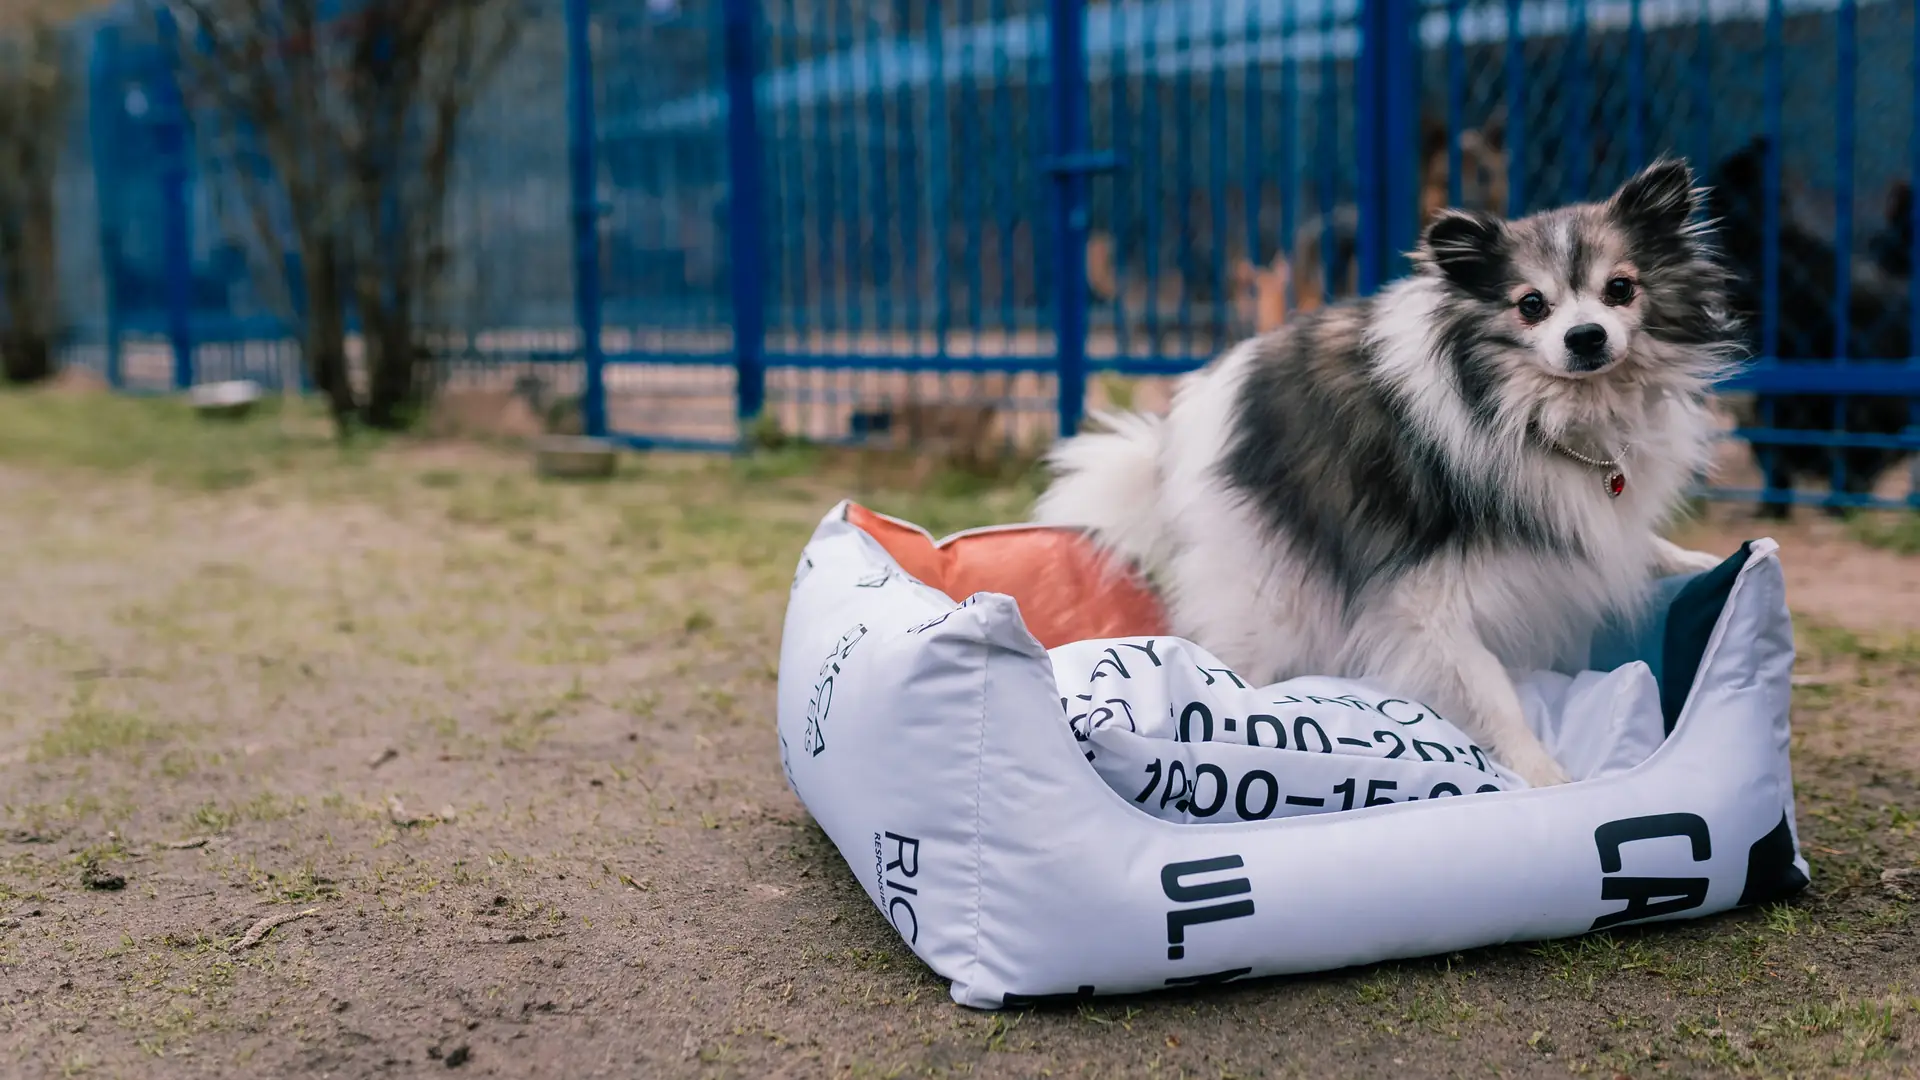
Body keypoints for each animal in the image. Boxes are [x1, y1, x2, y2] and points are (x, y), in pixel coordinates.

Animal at [1044, 159, 1751, 780]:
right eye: (1531, 305)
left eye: (1620, 289)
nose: (1586, 337)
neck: (1536, 411)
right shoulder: (1421, 601)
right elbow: (1490, 688)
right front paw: (1542, 775)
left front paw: (1690, 559)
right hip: (1265, 591)